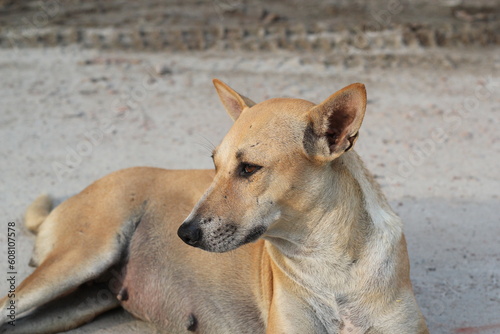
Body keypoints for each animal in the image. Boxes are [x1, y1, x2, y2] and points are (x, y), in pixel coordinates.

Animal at [0, 79, 430, 332]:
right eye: (214, 164)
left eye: (249, 168)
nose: (183, 233)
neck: (330, 265)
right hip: (79, 259)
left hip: (79, 302)